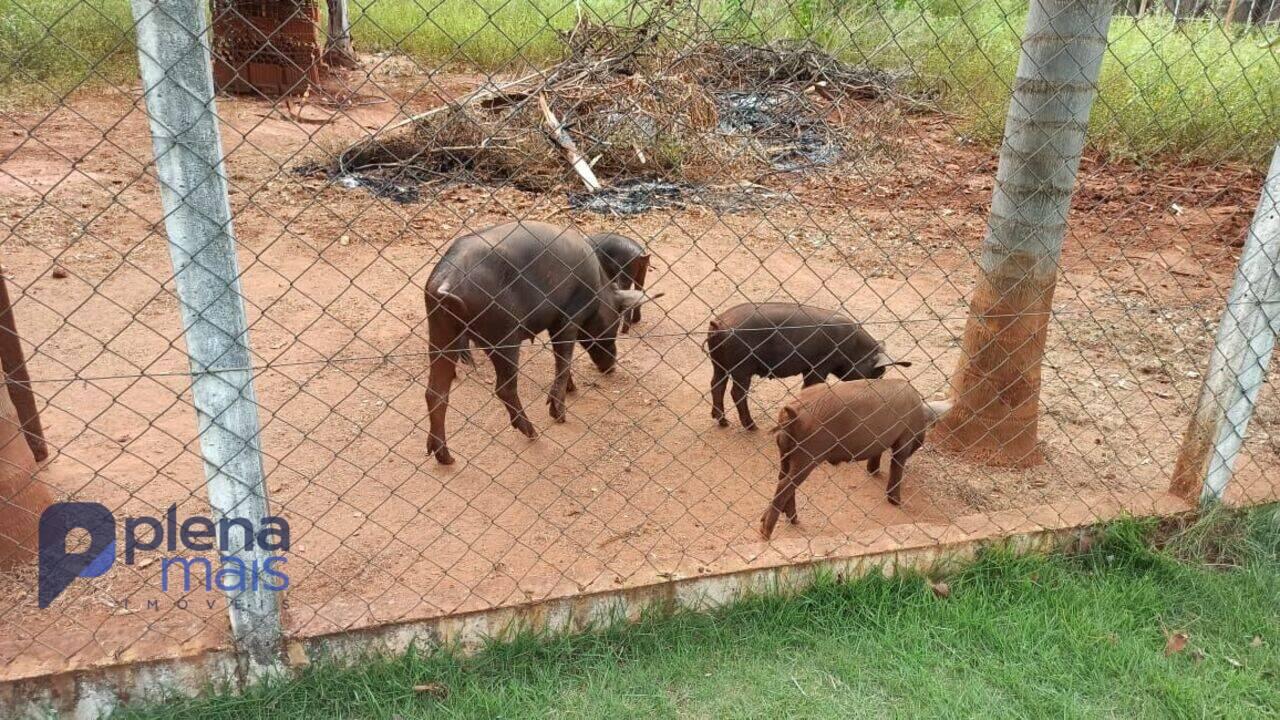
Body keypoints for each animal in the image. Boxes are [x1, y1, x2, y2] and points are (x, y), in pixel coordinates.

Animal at [424, 221, 655, 461]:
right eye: (615, 318)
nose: (611, 367)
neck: (598, 289)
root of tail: (445, 283)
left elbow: (562, 360)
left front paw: (572, 389)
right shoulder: (568, 317)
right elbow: (564, 361)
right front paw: (560, 414)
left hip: (441, 331)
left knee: (435, 392)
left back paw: (445, 458)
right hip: (502, 333)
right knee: (504, 388)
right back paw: (533, 433)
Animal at [706, 299, 906, 427]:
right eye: (878, 373)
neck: (852, 347)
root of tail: (719, 324)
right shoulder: (820, 365)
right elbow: (812, 386)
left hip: (718, 363)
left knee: (716, 384)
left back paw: (722, 421)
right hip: (741, 367)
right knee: (736, 392)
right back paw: (751, 427)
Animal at [757, 379, 952, 535]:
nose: (922, 439)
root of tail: (793, 413)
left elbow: (877, 455)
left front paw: (873, 472)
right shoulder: (904, 440)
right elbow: (897, 466)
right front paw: (896, 502)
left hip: (785, 452)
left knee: (782, 479)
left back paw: (792, 520)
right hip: (808, 453)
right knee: (785, 484)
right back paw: (766, 532)